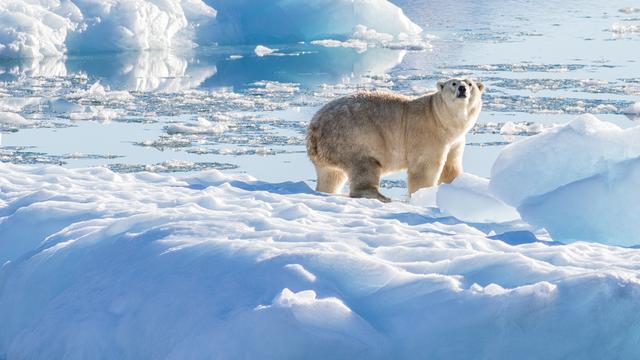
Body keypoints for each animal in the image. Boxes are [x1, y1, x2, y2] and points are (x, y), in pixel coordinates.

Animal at [308, 78, 482, 202]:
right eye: (453, 83)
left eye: (470, 83)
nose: (462, 89)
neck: (439, 118)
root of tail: (314, 127)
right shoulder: (427, 133)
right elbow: (424, 168)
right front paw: (423, 195)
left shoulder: (455, 141)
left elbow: (450, 167)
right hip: (354, 136)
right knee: (364, 165)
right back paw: (382, 197)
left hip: (329, 150)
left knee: (331, 175)